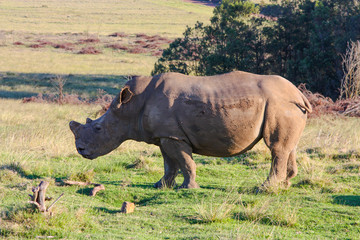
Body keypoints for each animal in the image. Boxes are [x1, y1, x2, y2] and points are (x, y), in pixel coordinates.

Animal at [69, 71, 310, 189]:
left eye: (98, 128)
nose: (80, 149)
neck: (131, 106)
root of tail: (299, 93)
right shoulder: (164, 135)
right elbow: (170, 164)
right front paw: (161, 186)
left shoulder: (173, 136)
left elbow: (185, 162)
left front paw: (188, 188)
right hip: (286, 106)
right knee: (288, 146)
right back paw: (285, 186)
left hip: (279, 104)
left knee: (276, 147)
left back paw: (264, 188)